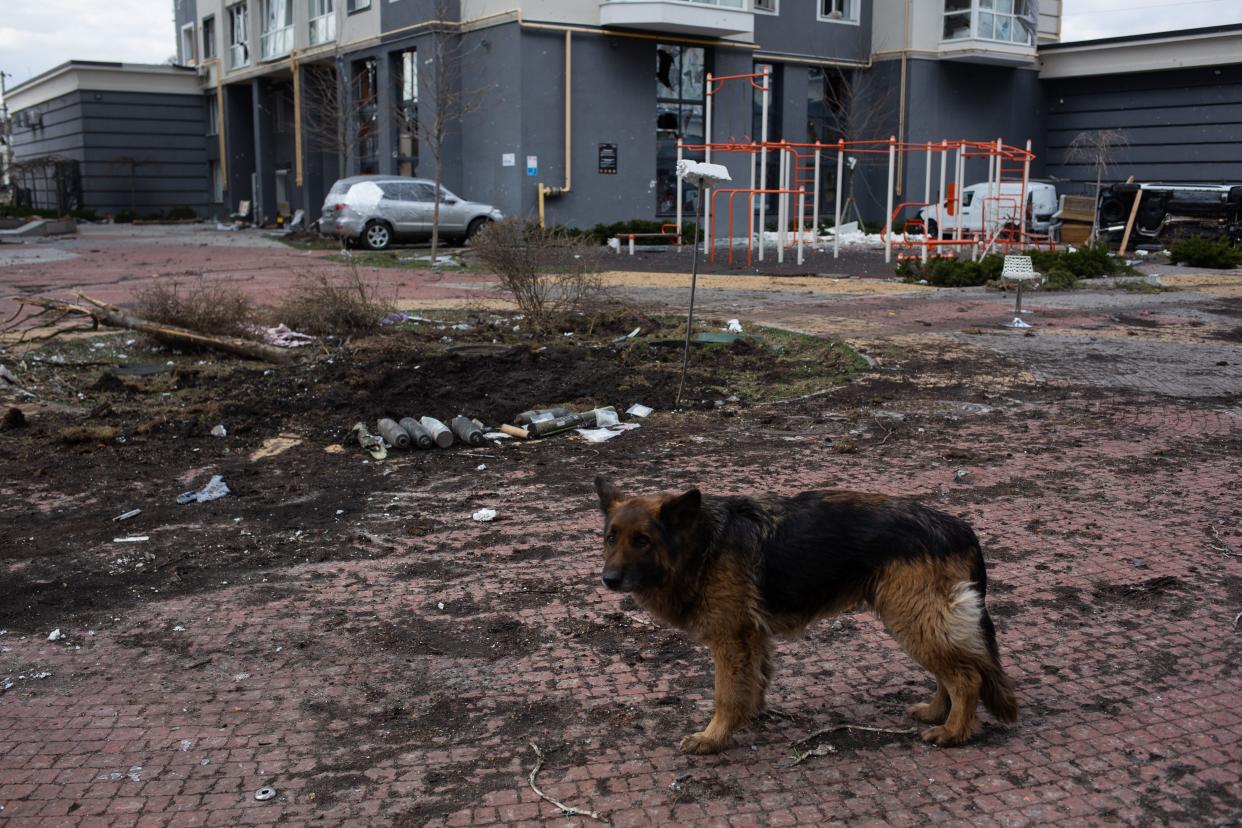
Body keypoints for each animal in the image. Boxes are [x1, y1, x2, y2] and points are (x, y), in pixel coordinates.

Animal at [593, 479, 1018, 759]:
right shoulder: (752, 637)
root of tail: (959, 527)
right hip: (919, 621)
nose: (608, 579)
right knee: (952, 671)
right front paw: (750, 716)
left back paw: (953, 731)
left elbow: (726, 694)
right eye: (611, 538)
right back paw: (935, 712)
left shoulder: (730, 638)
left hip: (913, 619)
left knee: (967, 677)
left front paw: (713, 738)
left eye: (642, 540)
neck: (701, 545)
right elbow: (754, 681)